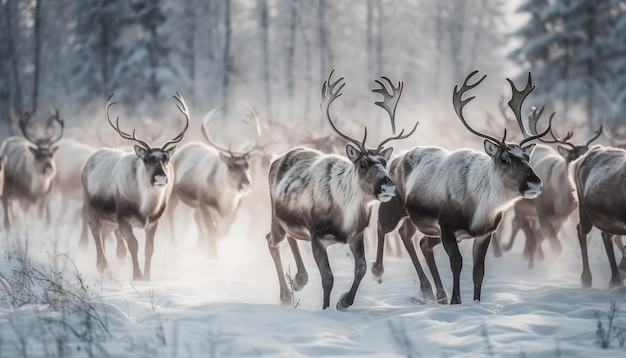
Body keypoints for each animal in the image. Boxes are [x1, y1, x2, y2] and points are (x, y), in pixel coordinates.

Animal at [80, 91, 189, 280]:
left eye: (166, 158)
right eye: (146, 159)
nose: (160, 177)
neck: (145, 207)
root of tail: (88, 160)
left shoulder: (154, 221)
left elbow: (149, 249)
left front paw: (147, 277)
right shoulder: (123, 217)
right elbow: (133, 244)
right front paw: (137, 275)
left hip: (109, 216)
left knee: (104, 232)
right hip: (91, 206)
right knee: (95, 230)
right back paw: (102, 266)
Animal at [165, 106, 260, 258]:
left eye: (247, 165)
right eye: (231, 166)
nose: (245, 185)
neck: (225, 199)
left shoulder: (234, 207)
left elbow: (224, 227)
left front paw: (213, 246)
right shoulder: (204, 201)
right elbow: (211, 227)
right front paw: (213, 256)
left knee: (196, 217)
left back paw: (201, 244)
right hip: (173, 192)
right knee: (170, 213)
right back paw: (173, 243)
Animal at [266, 71, 416, 310]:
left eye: (384, 161)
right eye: (363, 163)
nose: (388, 184)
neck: (344, 216)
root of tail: (276, 159)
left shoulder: (357, 234)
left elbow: (361, 268)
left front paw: (344, 301)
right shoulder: (317, 235)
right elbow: (328, 277)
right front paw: (326, 307)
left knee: (290, 237)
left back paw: (299, 279)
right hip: (275, 215)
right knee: (271, 240)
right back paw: (285, 295)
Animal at [370, 71, 544, 304]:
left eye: (527, 157)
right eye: (505, 159)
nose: (535, 182)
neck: (480, 208)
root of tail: (396, 158)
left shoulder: (484, 233)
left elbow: (479, 270)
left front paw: (476, 302)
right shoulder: (447, 227)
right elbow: (457, 263)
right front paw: (456, 301)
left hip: (426, 226)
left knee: (416, 240)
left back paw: (434, 292)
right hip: (394, 205)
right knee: (383, 227)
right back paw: (378, 270)